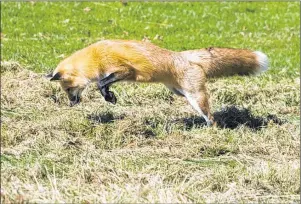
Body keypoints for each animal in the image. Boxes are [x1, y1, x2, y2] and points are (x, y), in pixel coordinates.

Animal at [47, 39, 268, 126]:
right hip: (180, 92)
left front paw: (108, 96)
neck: (93, 59)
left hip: (196, 97)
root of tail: (183, 56)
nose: (72, 103)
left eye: (68, 89)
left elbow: (101, 82)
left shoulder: (125, 70)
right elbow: (104, 84)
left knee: (211, 119)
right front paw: (110, 97)